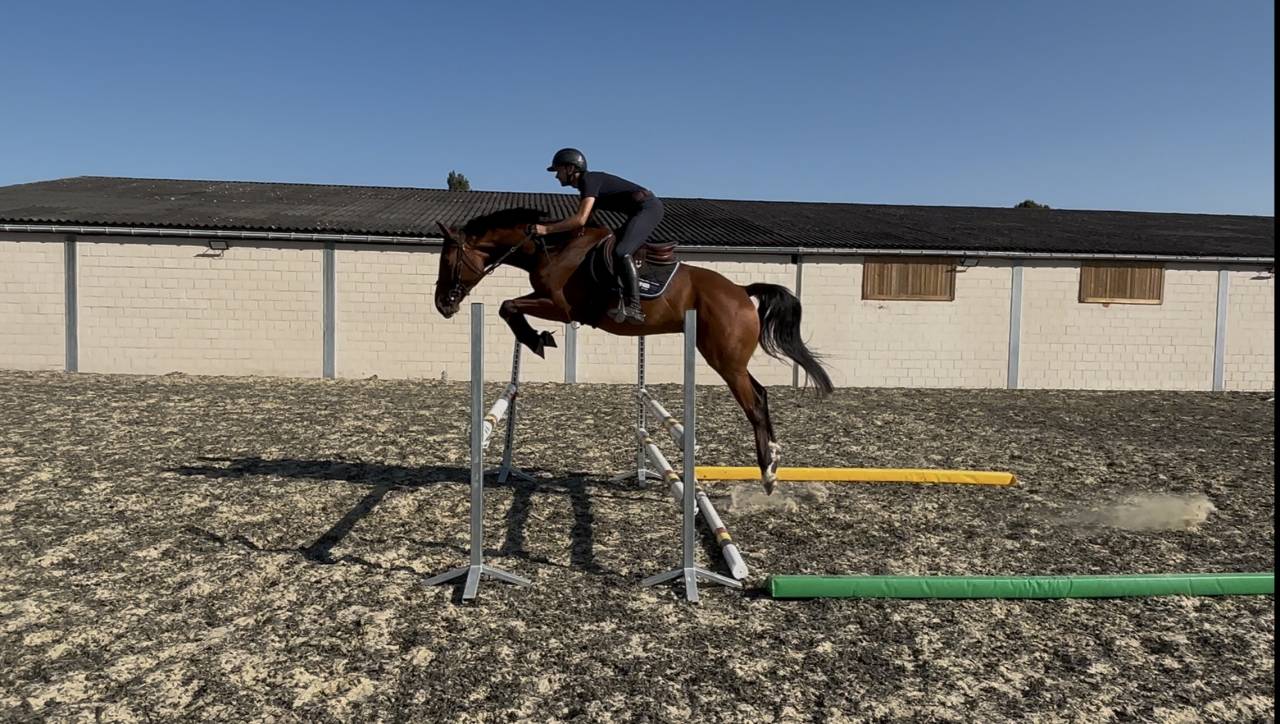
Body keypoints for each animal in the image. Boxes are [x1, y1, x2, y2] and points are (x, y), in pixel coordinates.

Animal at [433, 207, 833, 494]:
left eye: (448, 260)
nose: (442, 305)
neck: (552, 250)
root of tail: (740, 290)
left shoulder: (562, 308)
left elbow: (507, 306)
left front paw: (536, 339)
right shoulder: (549, 302)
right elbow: (509, 306)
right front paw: (538, 338)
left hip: (724, 360)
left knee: (754, 403)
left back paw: (768, 473)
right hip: (729, 359)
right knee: (762, 395)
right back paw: (773, 465)